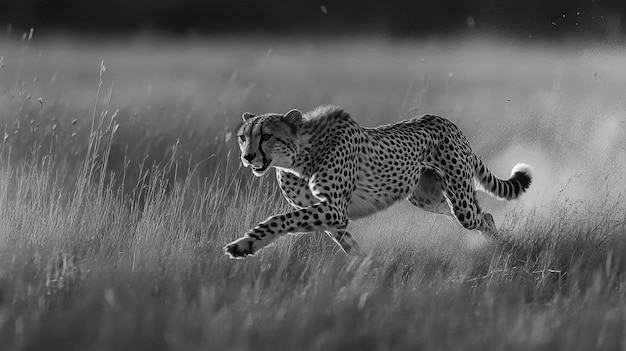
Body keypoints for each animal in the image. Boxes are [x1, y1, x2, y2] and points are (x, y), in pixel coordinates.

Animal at [222, 106, 528, 260]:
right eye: (243, 137)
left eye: (266, 136)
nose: (247, 157)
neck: (297, 159)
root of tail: (448, 122)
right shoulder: (332, 216)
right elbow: (347, 244)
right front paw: (363, 265)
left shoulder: (334, 209)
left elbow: (279, 219)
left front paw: (244, 244)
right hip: (430, 198)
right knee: (482, 214)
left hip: (459, 199)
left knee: (482, 217)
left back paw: (505, 246)